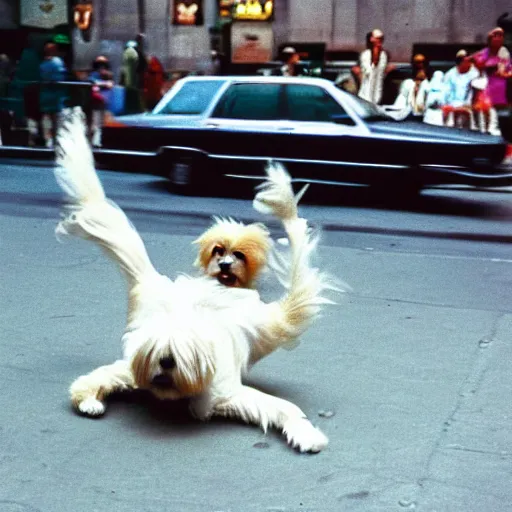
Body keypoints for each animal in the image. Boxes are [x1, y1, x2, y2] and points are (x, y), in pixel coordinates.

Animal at [55, 108, 336, 452]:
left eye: (175, 359)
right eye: (161, 356)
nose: (164, 366)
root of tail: (157, 284)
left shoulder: (214, 387)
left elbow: (275, 406)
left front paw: (304, 431)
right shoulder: (139, 363)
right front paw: (87, 399)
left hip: (270, 324)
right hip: (270, 323)